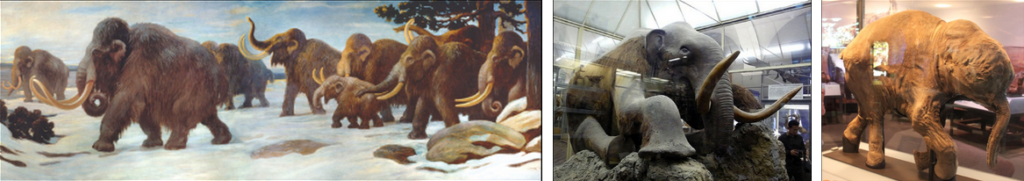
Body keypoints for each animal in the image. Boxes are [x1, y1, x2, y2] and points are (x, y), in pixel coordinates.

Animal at [29, 18, 233, 151]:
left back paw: (173, 146)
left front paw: (99, 147)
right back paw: (222, 140)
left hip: (197, 83)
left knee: (183, 110)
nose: (97, 96)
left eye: (95, 53)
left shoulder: (141, 62)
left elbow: (126, 99)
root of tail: (221, 73)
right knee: (207, 115)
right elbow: (143, 109)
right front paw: (151, 144)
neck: (128, 37)